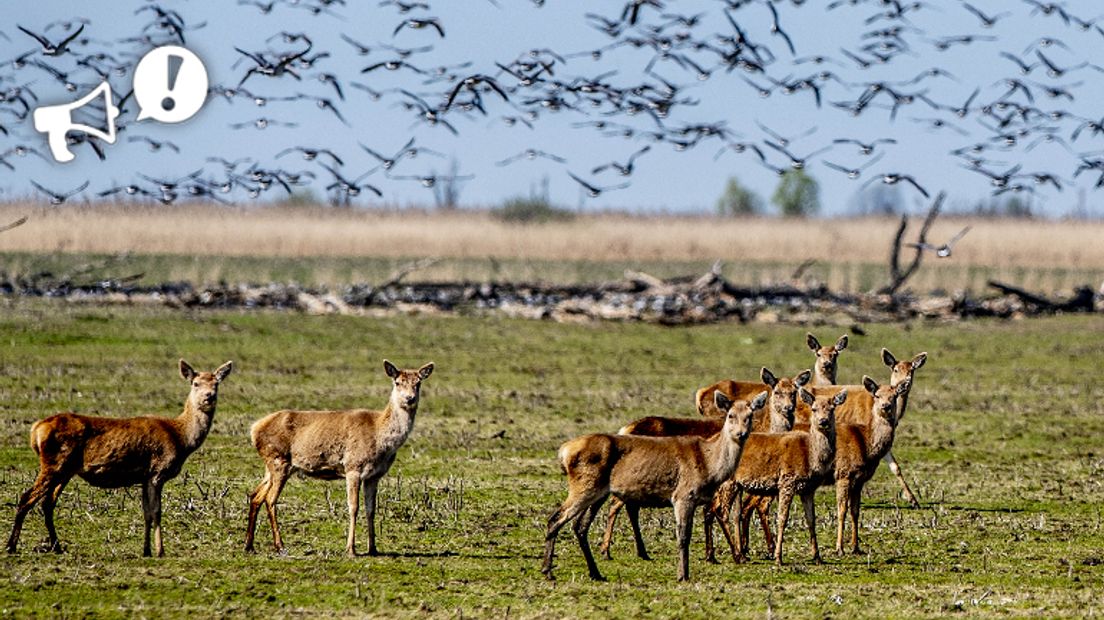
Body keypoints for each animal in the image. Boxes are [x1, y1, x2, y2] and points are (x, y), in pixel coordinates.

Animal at [5, 357, 232, 556]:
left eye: (217, 383)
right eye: (195, 383)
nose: (209, 396)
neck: (180, 437)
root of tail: (36, 430)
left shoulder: (144, 476)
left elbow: (146, 512)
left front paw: (146, 550)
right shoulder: (157, 471)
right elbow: (156, 512)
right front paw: (160, 551)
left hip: (65, 470)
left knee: (47, 503)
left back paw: (57, 547)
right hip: (54, 463)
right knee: (26, 498)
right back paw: (11, 546)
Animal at [245, 357, 430, 556]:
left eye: (418, 383)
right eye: (397, 382)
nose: (409, 398)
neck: (381, 437)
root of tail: (254, 429)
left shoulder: (374, 475)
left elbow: (371, 509)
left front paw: (373, 548)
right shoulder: (353, 467)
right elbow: (353, 507)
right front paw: (350, 549)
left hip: (272, 465)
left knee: (256, 495)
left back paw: (249, 545)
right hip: (279, 460)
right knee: (270, 499)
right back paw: (280, 546)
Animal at [540, 388, 759, 582]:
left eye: (750, 416)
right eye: (730, 415)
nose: (741, 434)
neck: (709, 465)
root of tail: (564, 451)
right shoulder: (683, 495)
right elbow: (683, 537)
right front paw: (683, 575)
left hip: (598, 492)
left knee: (580, 526)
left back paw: (595, 573)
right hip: (584, 486)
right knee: (555, 518)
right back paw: (548, 571)